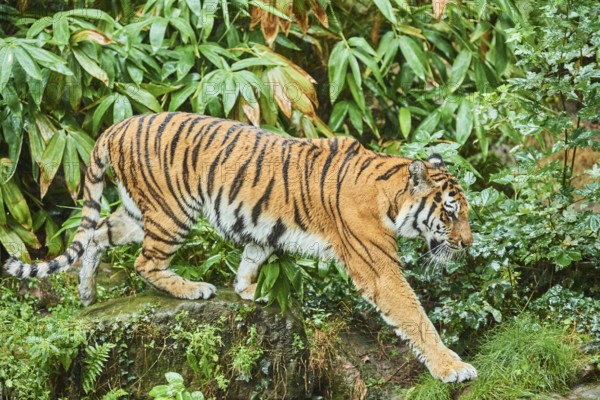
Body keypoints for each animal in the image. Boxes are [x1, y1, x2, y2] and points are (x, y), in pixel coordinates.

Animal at [2, 112, 476, 384]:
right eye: (451, 214)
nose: (469, 244)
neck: (391, 195)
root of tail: (116, 125)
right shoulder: (377, 267)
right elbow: (415, 317)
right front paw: (452, 368)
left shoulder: (265, 230)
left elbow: (252, 256)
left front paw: (249, 291)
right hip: (172, 211)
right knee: (144, 262)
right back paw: (192, 288)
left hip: (139, 212)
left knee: (99, 231)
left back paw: (87, 293)